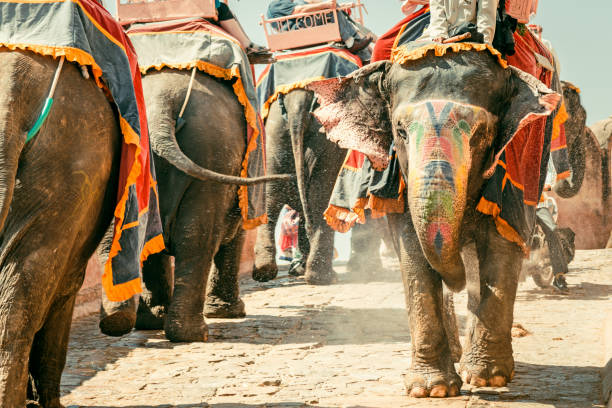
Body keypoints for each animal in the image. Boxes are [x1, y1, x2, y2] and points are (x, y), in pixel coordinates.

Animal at [98, 68, 292, 342]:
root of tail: (161, 106)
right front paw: (230, 313)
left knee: (123, 237)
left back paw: (123, 321)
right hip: (213, 151)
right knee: (197, 238)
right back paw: (192, 333)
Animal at [252, 90, 350, 286]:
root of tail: (298, 98)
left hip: (275, 132)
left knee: (272, 194)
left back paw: (265, 271)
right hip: (325, 135)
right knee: (320, 196)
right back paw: (323, 277)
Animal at [308, 47, 560, 396]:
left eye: (481, 134)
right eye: (400, 131)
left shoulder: (515, 169)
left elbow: (502, 243)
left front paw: (488, 378)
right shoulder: (399, 178)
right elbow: (413, 251)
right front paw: (432, 389)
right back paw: (455, 354)